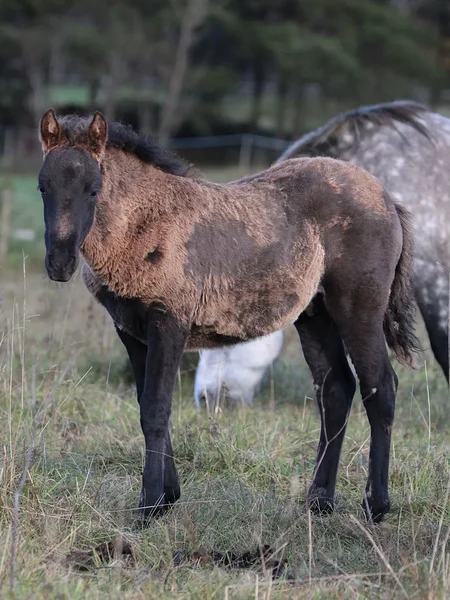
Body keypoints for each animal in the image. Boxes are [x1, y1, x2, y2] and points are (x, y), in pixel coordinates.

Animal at [38, 108, 420, 523]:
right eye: (43, 187)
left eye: (93, 189)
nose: (59, 264)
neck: (144, 224)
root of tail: (388, 198)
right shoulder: (130, 330)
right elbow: (146, 404)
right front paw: (168, 496)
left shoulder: (168, 322)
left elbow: (155, 409)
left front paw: (149, 507)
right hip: (314, 315)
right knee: (335, 389)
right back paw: (318, 501)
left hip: (359, 309)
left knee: (380, 387)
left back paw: (375, 506)